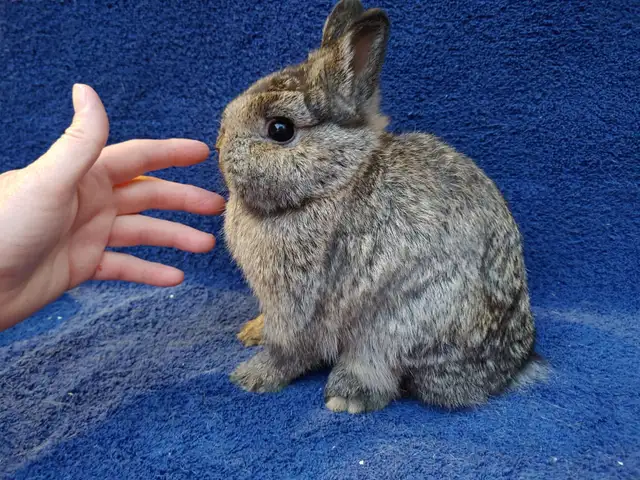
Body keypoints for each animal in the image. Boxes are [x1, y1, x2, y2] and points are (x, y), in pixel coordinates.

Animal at [216, 0, 547, 413]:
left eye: (281, 129)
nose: (219, 145)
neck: (331, 181)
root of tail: (507, 370)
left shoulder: (299, 303)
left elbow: (287, 350)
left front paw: (251, 378)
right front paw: (251, 333)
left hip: (392, 326)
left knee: (380, 373)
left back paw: (346, 396)